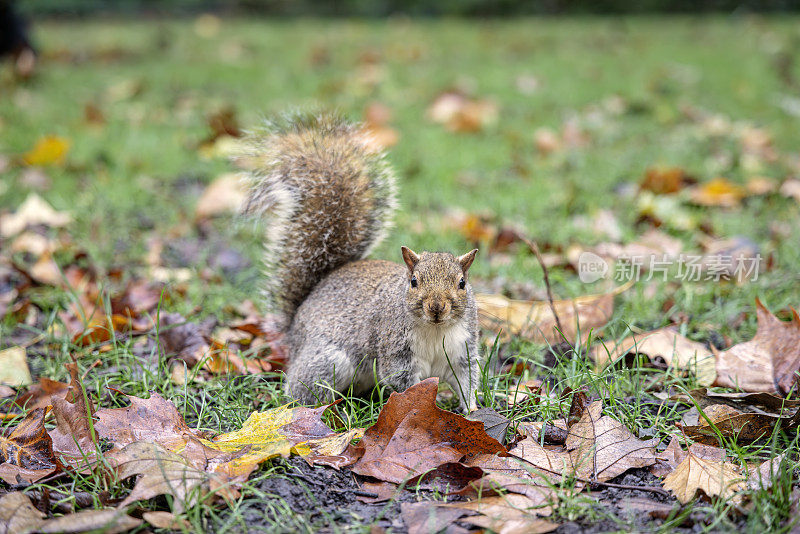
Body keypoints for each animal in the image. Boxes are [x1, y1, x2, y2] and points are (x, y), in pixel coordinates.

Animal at [242, 113, 482, 412]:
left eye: (462, 283)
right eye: (414, 281)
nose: (436, 308)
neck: (436, 330)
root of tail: (294, 328)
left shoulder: (463, 350)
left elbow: (467, 381)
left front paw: (472, 411)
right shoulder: (396, 351)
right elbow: (405, 385)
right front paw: (418, 408)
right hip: (328, 361)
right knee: (300, 389)